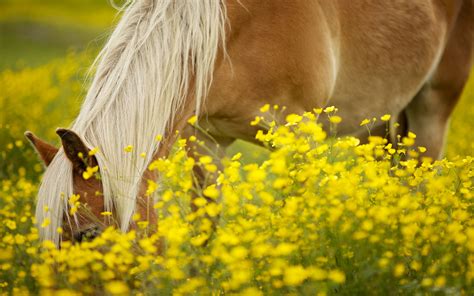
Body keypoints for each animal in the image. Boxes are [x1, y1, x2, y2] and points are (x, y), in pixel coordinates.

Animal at [25, 0, 470, 245]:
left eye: (87, 234)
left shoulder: (298, 137)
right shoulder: (205, 141)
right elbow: (206, 228)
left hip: (433, 106)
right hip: (377, 121)